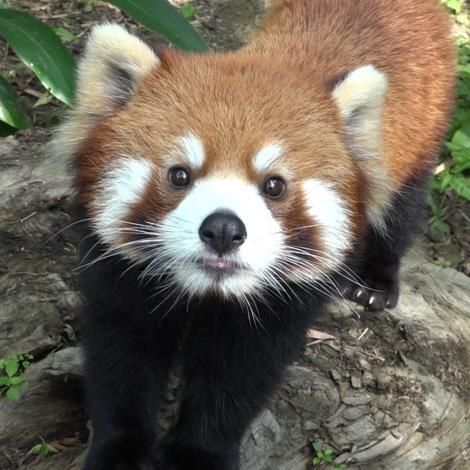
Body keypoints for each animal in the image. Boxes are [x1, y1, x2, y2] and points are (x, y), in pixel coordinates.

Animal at [52, 0, 456, 470]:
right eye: (179, 175)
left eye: (274, 185)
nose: (224, 229)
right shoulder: (118, 273)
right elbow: (122, 354)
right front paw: (120, 448)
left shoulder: (282, 303)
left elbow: (238, 377)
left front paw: (198, 454)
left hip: (419, 133)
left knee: (401, 209)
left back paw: (376, 280)